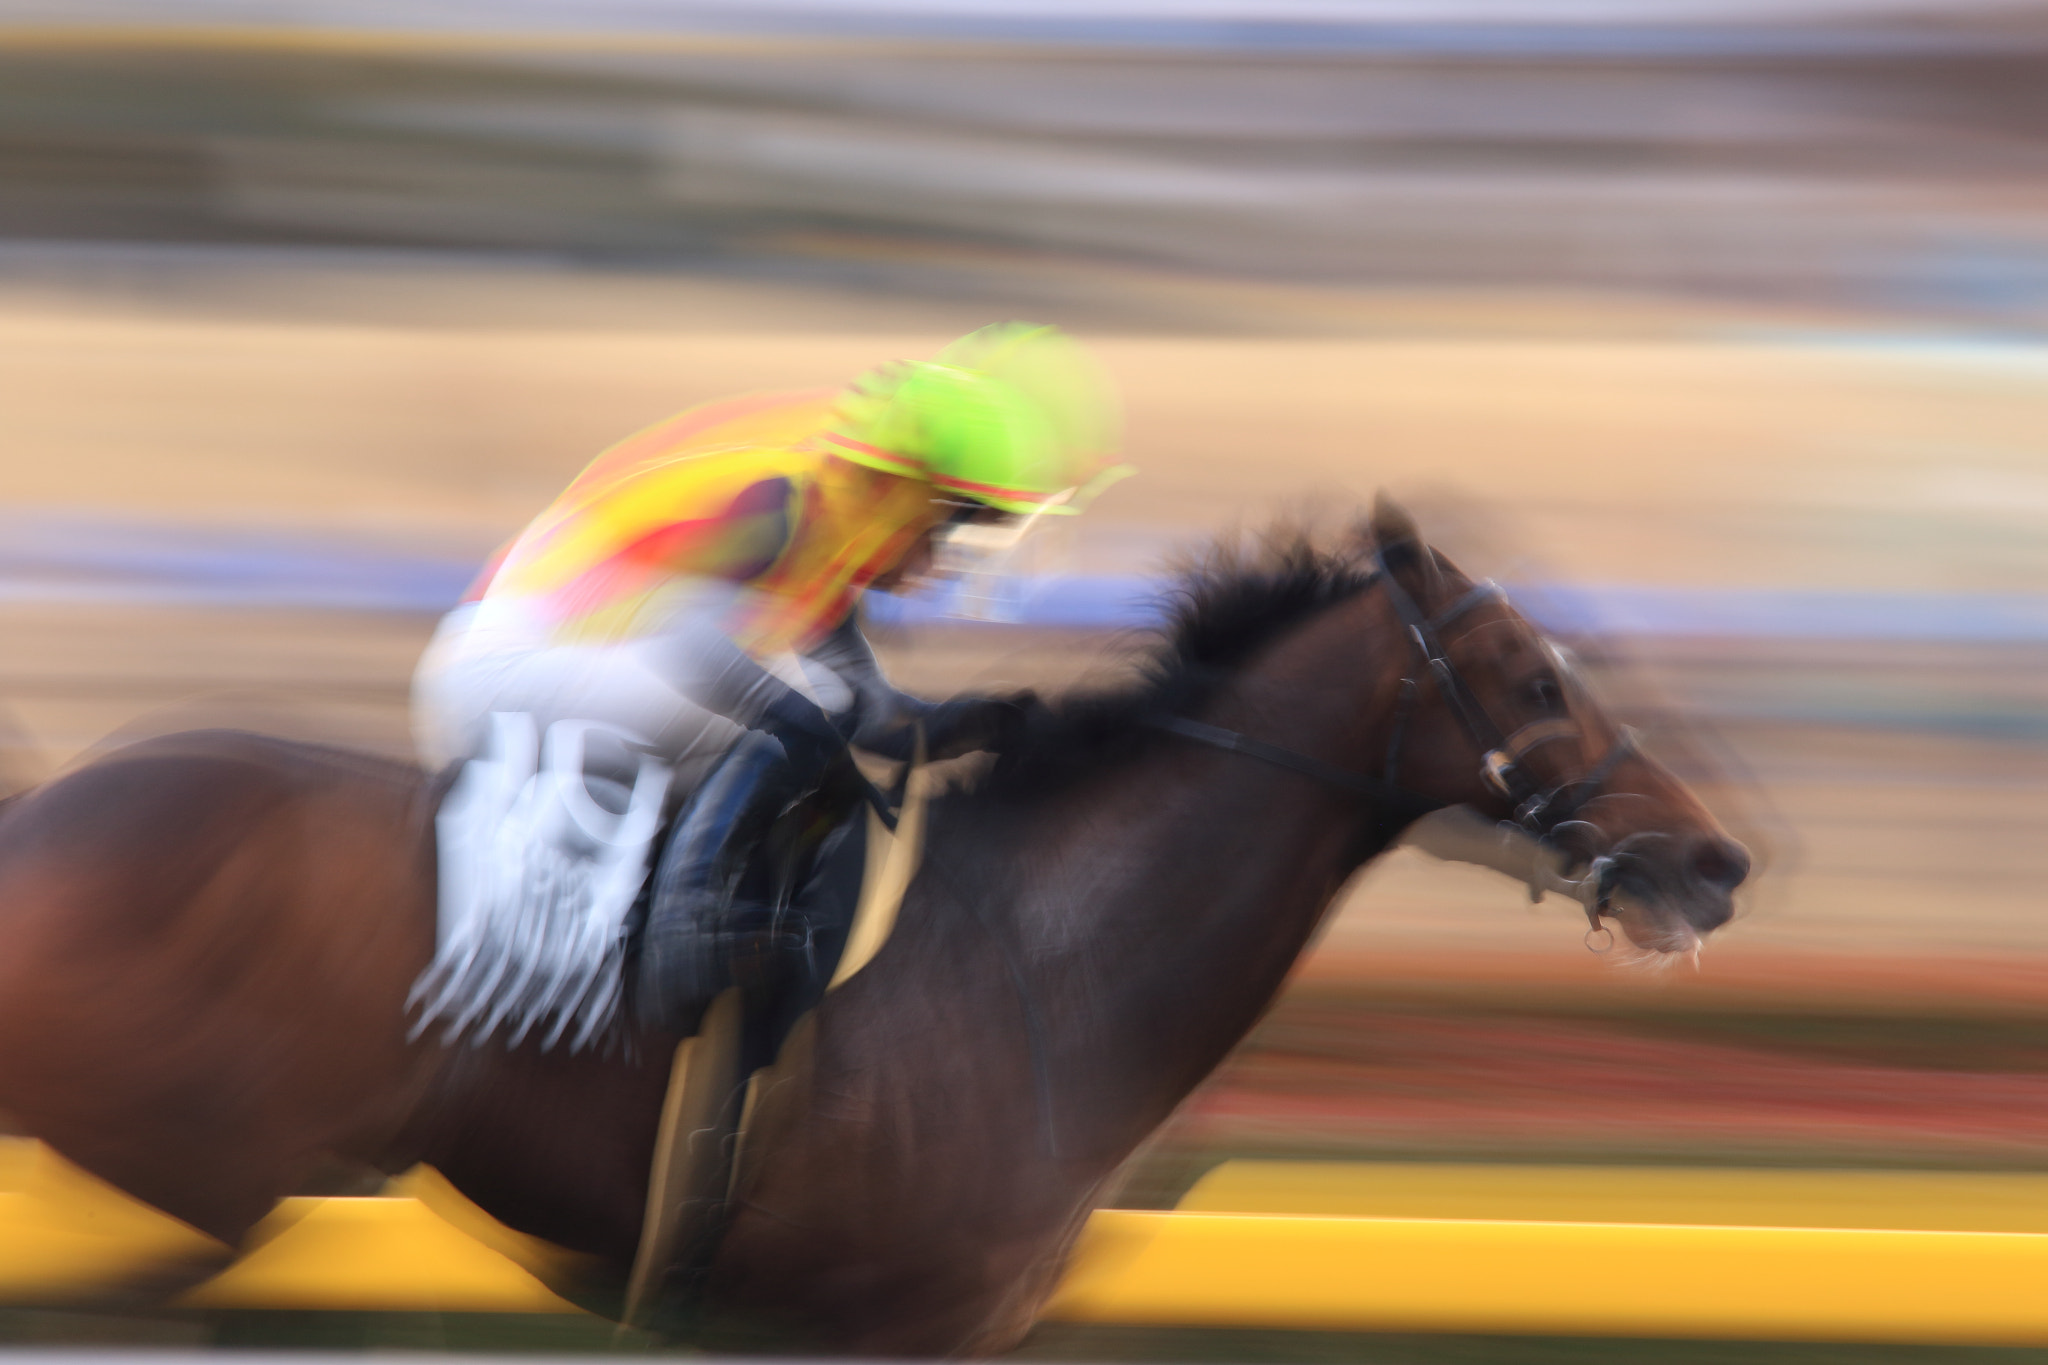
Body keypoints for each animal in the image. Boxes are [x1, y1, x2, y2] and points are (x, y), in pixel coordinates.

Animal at [0, 498, 1747, 1354]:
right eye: (1534, 677)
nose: (1714, 861)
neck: (1049, 962)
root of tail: (44, 816)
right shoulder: (884, 1324)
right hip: (203, 1168)